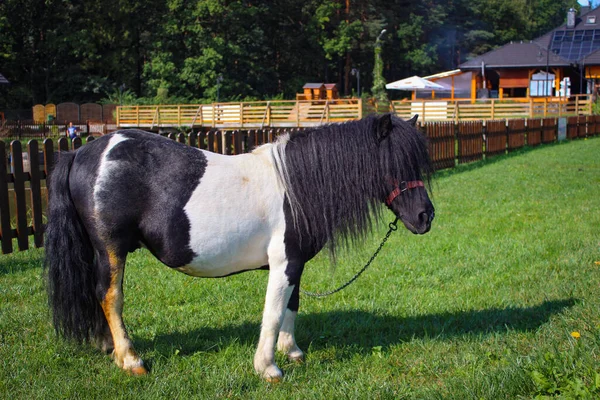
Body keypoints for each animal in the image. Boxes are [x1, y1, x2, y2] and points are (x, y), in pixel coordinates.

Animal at [44, 112, 434, 382]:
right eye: (393, 164)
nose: (425, 216)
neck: (297, 186)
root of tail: (82, 152)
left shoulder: (295, 264)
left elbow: (292, 304)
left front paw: (292, 351)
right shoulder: (283, 264)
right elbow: (273, 312)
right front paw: (268, 368)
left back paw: (109, 347)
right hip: (111, 249)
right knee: (110, 295)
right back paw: (130, 359)